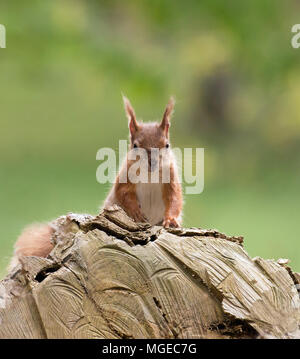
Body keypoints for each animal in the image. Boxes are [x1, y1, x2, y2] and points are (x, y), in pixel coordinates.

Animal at [8, 97, 183, 272]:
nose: (153, 163)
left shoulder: (171, 178)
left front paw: (171, 220)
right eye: (135, 146)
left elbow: (175, 199)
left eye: (167, 145)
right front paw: (136, 213)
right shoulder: (125, 177)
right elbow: (123, 193)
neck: (150, 175)